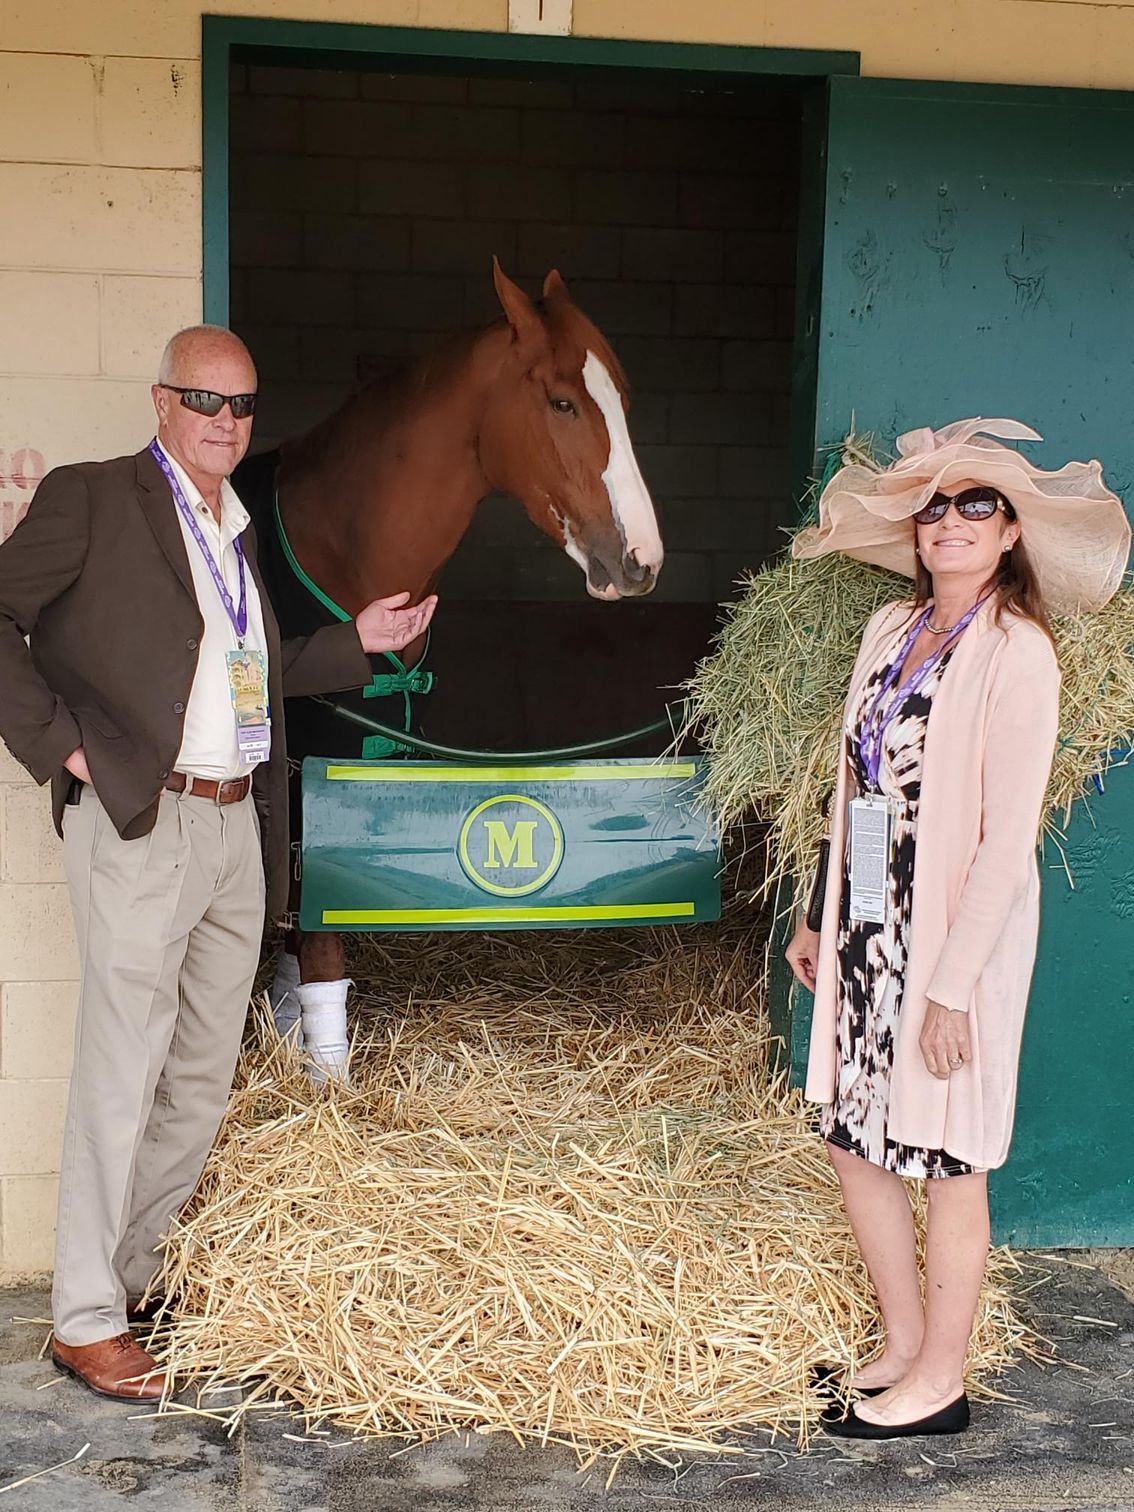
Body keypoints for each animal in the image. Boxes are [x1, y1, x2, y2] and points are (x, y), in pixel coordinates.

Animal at [236, 260, 664, 1081]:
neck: (341, 543)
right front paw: (329, 1075)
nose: (641, 562)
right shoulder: (309, 767)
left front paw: (295, 1029)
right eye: (561, 401)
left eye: (626, 402)